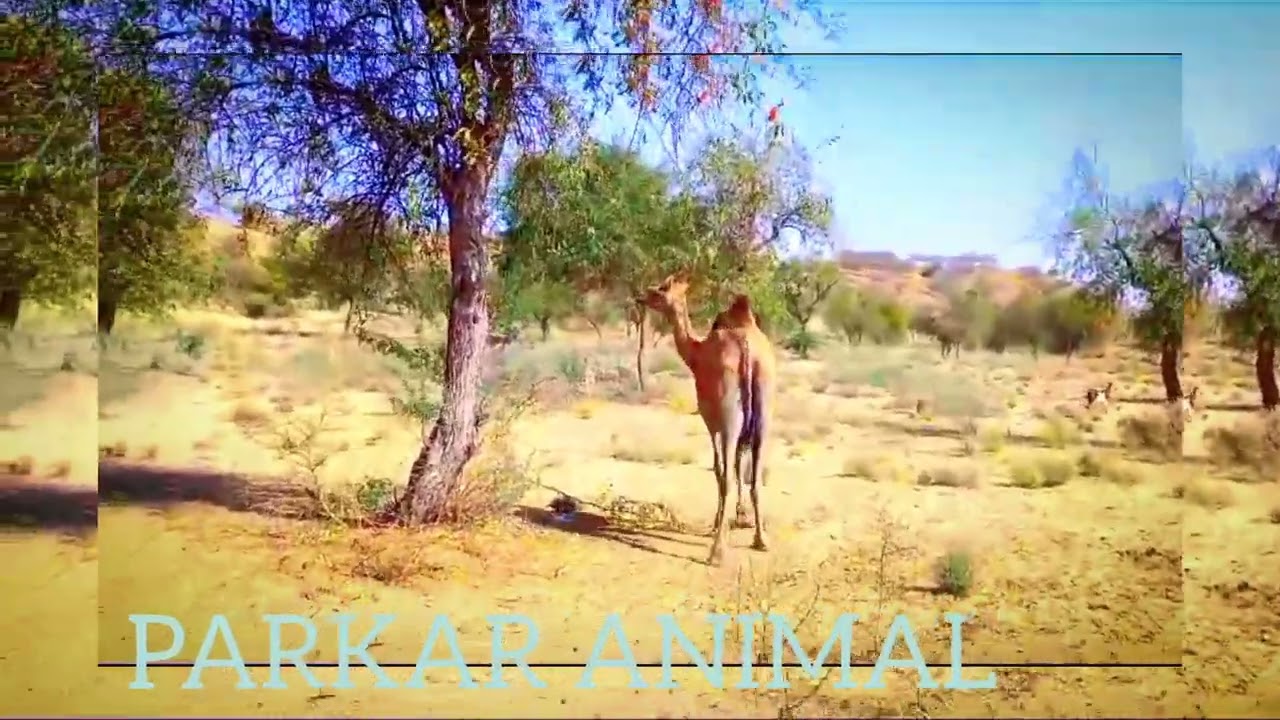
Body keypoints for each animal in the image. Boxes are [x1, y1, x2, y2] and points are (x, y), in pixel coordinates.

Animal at [637, 273, 776, 566]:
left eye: (660, 290)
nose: (640, 296)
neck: (695, 355)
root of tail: (748, 351)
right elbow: (738, 466)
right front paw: (741, 518)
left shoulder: (710, 421)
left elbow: (719, 470)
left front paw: (718, 525)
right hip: (764, 412)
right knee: (756, 475)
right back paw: (761, 540)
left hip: (729, 417)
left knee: (727, 476)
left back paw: (716, 552)